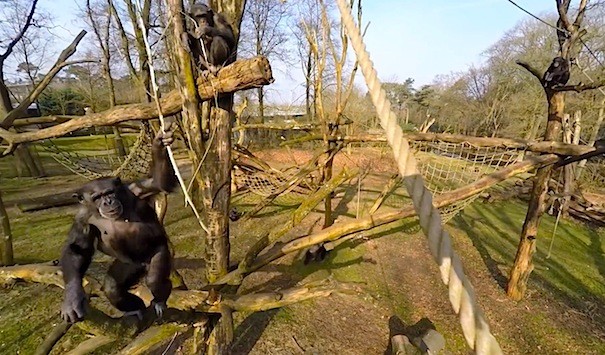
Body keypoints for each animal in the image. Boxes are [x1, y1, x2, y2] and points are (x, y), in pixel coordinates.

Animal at [61, 124, 179, 324]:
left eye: (109, 192)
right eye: (97, 197)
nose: (108, 202)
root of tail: (142, 265)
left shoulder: (138, 189)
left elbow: (160, 183)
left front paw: (159, 144)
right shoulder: (82, 218)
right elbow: (77, 249)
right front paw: (72, 297)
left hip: (158, 252)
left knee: (154, 279)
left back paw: (160, 299)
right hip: (129, 265)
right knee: (113, 288)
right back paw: (135, 308)